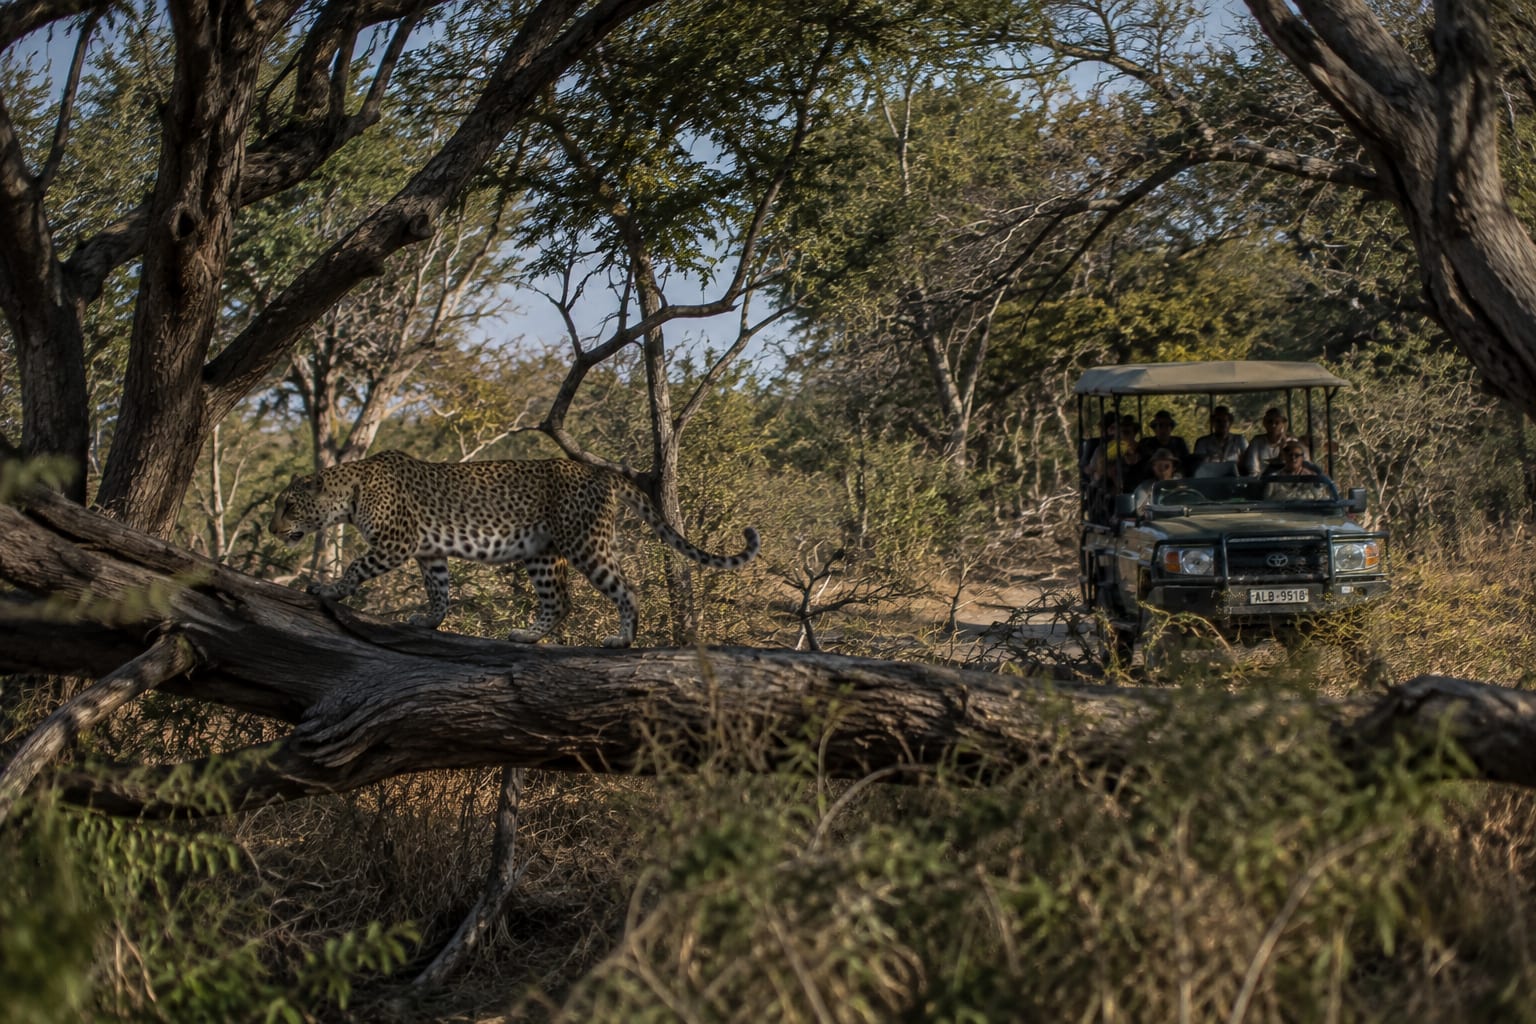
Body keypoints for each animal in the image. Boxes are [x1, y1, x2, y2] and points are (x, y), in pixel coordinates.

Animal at [268, 450, 760, 648]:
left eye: (287, 505)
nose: (273, 529)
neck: (348, 495)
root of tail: (599, 471)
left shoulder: (396, 542)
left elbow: (355, 566)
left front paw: (328, 590)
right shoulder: (428, 553)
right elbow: (438, 590)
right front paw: (430, 620)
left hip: (586, 543)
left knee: (626, 590)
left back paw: (622, 640)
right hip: (542, 552)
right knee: (559, 601)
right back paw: (527, 635)